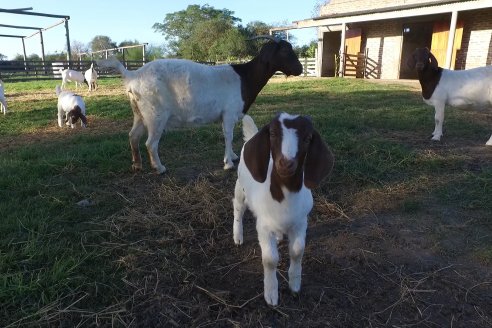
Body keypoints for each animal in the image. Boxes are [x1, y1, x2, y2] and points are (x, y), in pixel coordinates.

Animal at [96, 36, 304, 173]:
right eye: (285, 50)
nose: (300, 68)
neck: (243, 77)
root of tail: (132, 75)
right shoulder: (228, 113)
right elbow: (228, 136)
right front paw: (228, 163)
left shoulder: (226, 115)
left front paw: (233, 156)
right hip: (156, 115)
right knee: (150, 143)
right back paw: (160, 168)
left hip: (139, 113)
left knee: (133, 136)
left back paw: (137, 164)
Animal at [234, 112, 334, 304]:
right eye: (272, 133)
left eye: (308, 138)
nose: (286, 163)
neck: (285, 195)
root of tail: (251, 137)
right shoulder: (263, 227)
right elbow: (270, 259)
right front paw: (271, 294)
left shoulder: (301, 222)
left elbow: (297, 251)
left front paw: (295, 285)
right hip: (240, 187)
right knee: (238, 208)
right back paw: (237, 236)